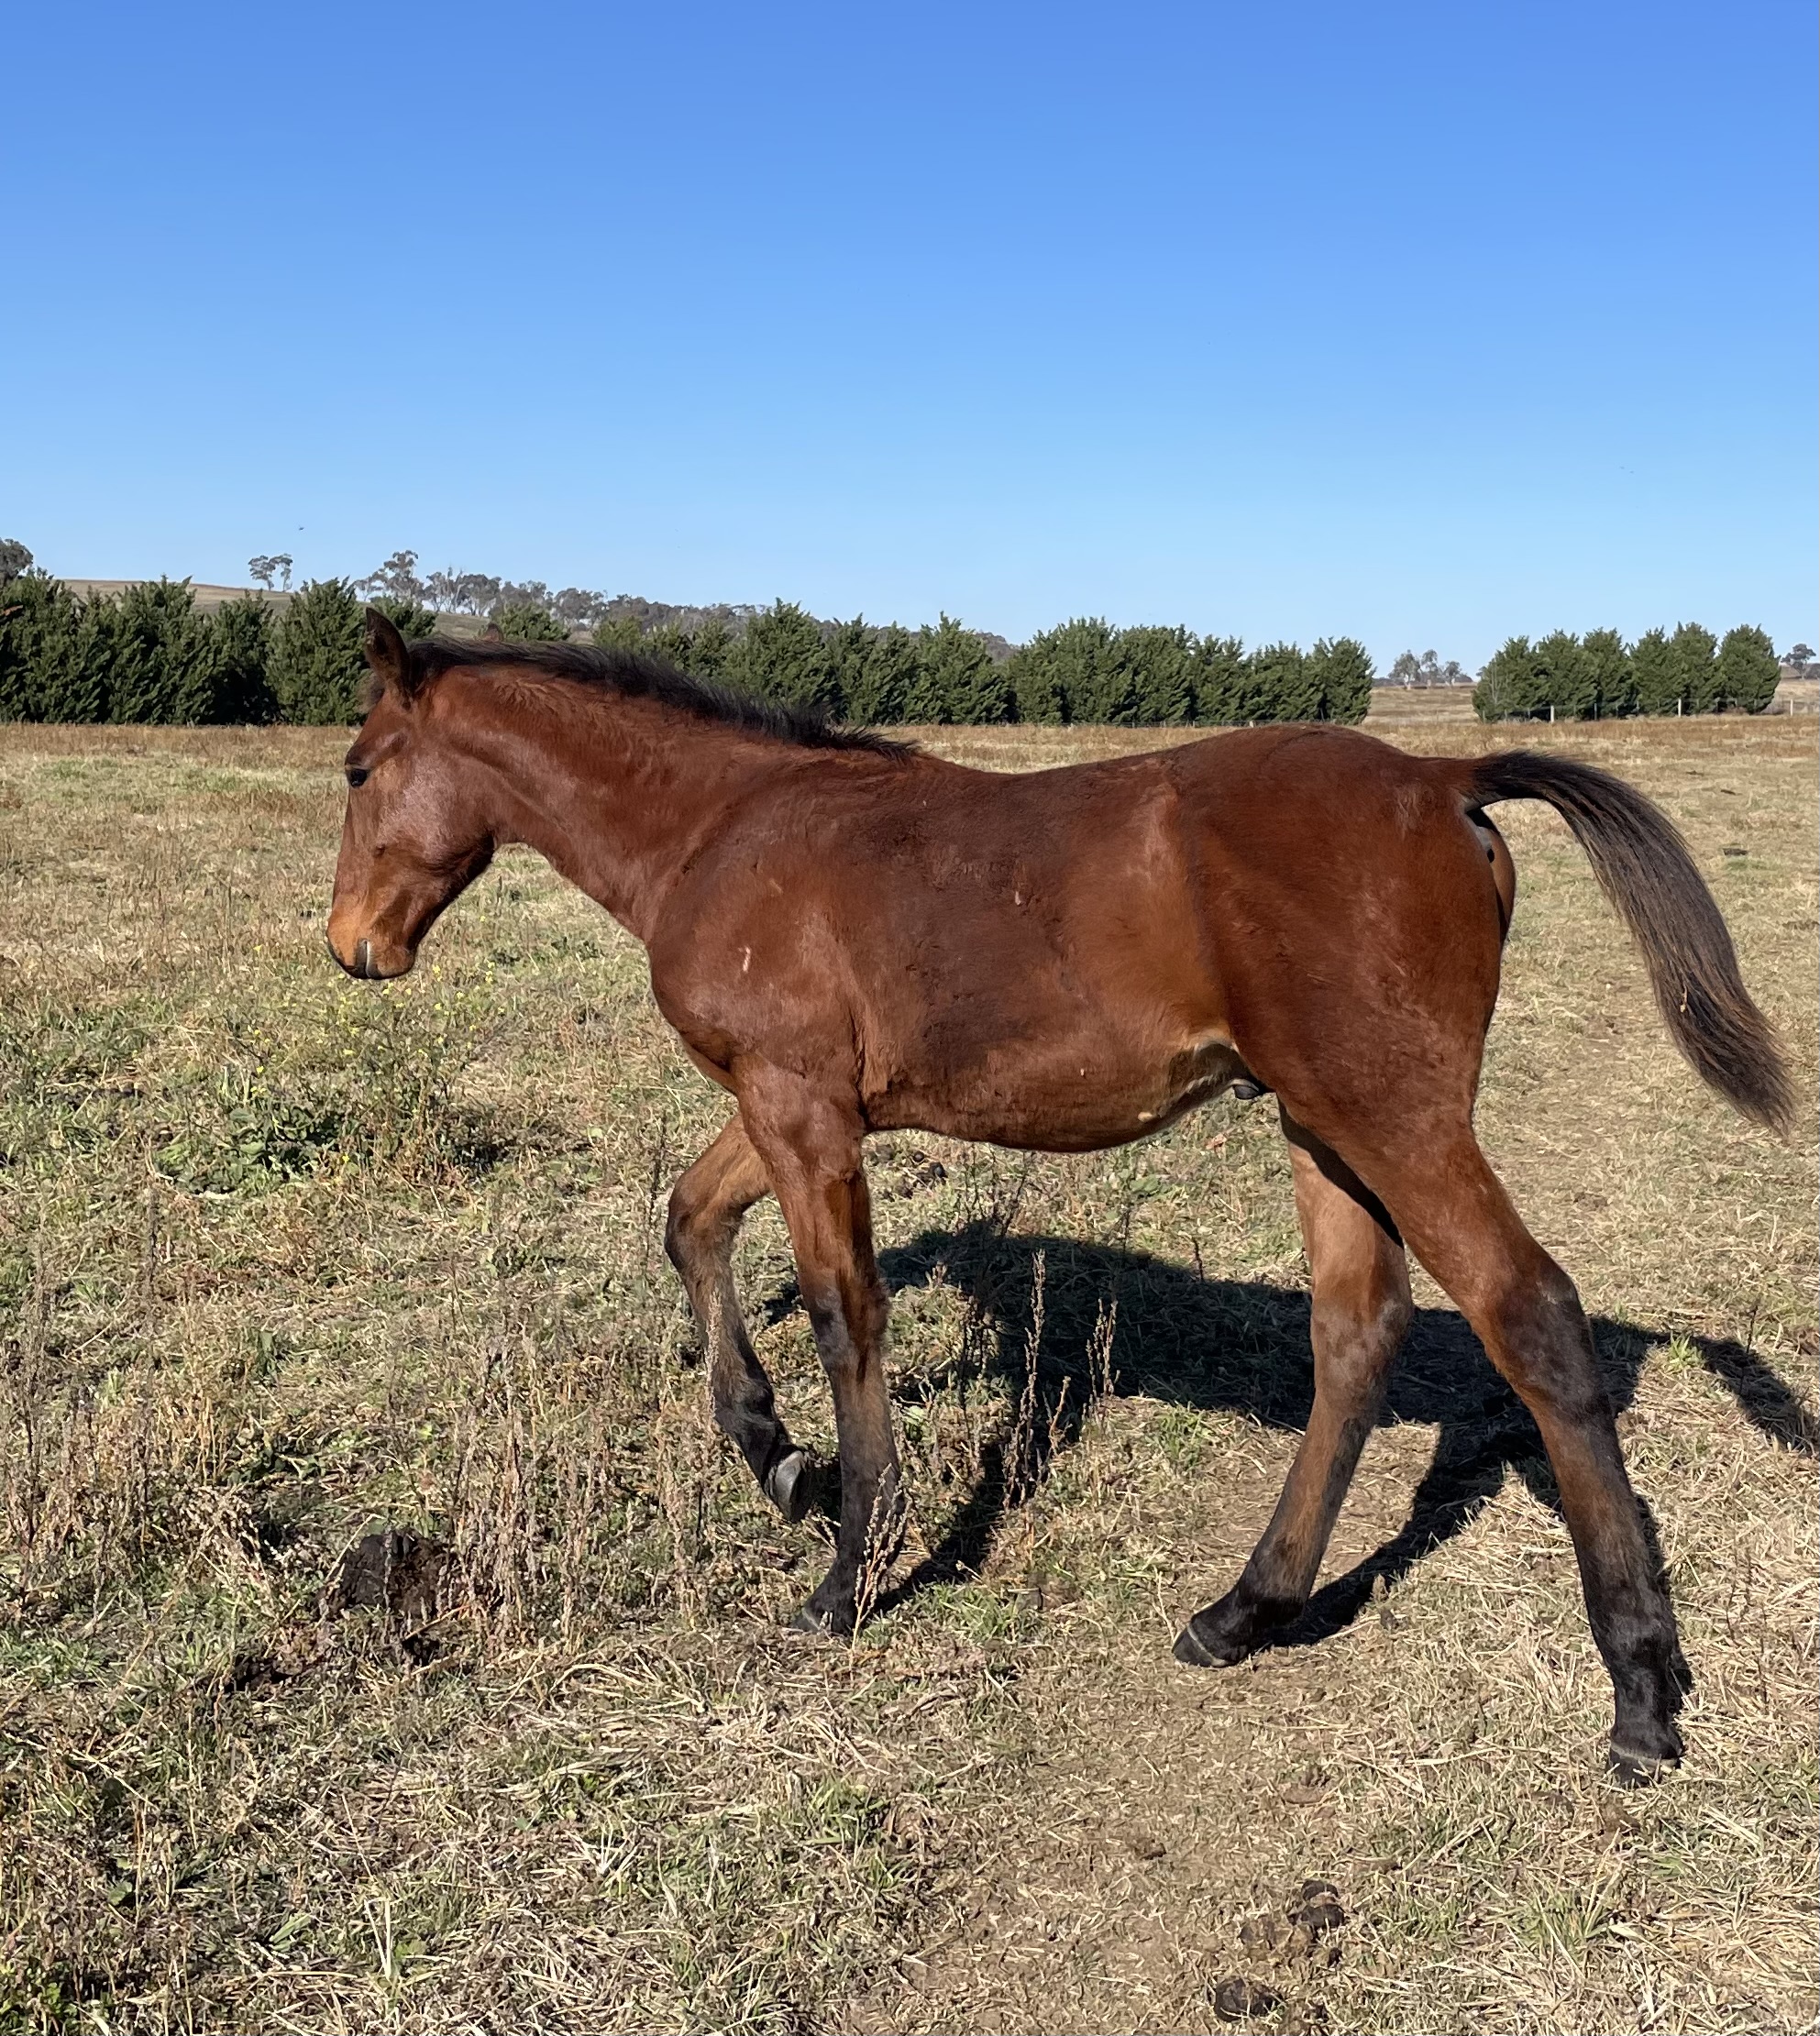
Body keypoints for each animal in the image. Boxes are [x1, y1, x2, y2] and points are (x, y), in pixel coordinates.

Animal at [327, 610, 1790, 1782]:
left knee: (1530, 1316)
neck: (720, 833)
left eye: (356, 768)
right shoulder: (791, 1105)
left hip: (1396, 1119)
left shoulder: (801, 1110)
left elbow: (844, 1314)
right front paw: (779, 1458)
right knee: (1357, 1333)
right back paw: (1242, 1613)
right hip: (1323, 1126)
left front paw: (850, 1568)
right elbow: (691, 1221)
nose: (351, 948)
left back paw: (1641, 1696)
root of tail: (1441, 781)